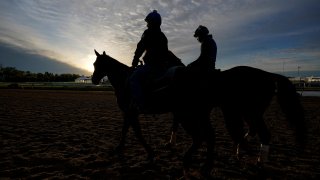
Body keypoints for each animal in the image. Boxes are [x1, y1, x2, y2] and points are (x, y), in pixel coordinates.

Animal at [91, 49, 306, 176]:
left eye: (96, 64)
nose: (93, 79)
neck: (126, 80)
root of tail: (268, 75)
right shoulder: (131, 113)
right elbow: (128, 130)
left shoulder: (131, 112)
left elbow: (133, 132)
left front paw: (145, 151)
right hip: (234, 113)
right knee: (225, 134)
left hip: (236, 112)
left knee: (217, 135)